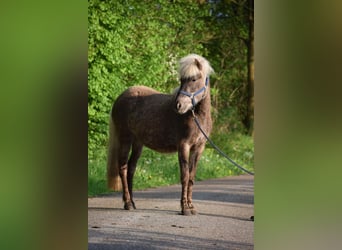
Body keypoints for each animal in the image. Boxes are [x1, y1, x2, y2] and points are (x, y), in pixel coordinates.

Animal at [107, 54, 214, 215]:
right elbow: (184, 176)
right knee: (123, 169)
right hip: (125, 139)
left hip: (138, 143)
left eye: (194, 79)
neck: (196, 117)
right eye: (181, 80)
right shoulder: (184, 146)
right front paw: (184, 208)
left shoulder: (198, 148)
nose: (178, 105)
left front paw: (191, 206)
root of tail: (121, 97)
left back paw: (132, 202)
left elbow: (191, 177)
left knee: (131, 169)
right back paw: (127, 203)